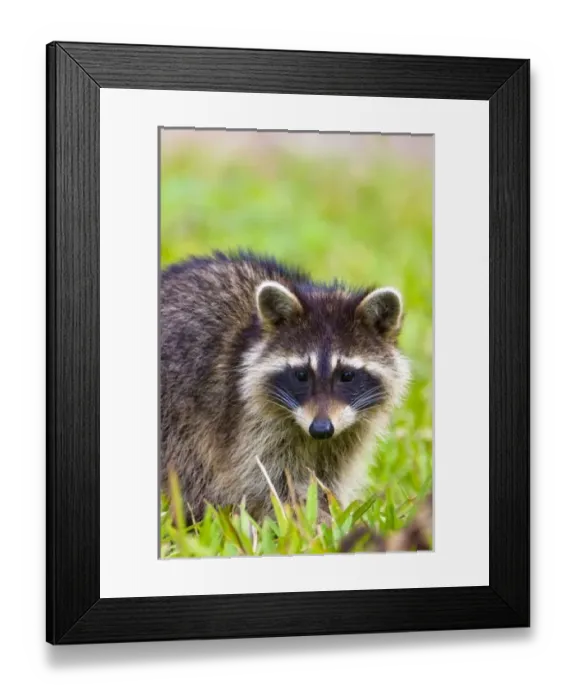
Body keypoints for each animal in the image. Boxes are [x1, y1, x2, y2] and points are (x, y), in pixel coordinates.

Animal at [160, 251, 410, 522]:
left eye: (347, 375)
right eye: (301, 375)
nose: (321, 429)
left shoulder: (348, 433)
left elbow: (328, 478)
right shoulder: (248, 420)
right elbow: (271, 479)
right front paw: (311, 519)